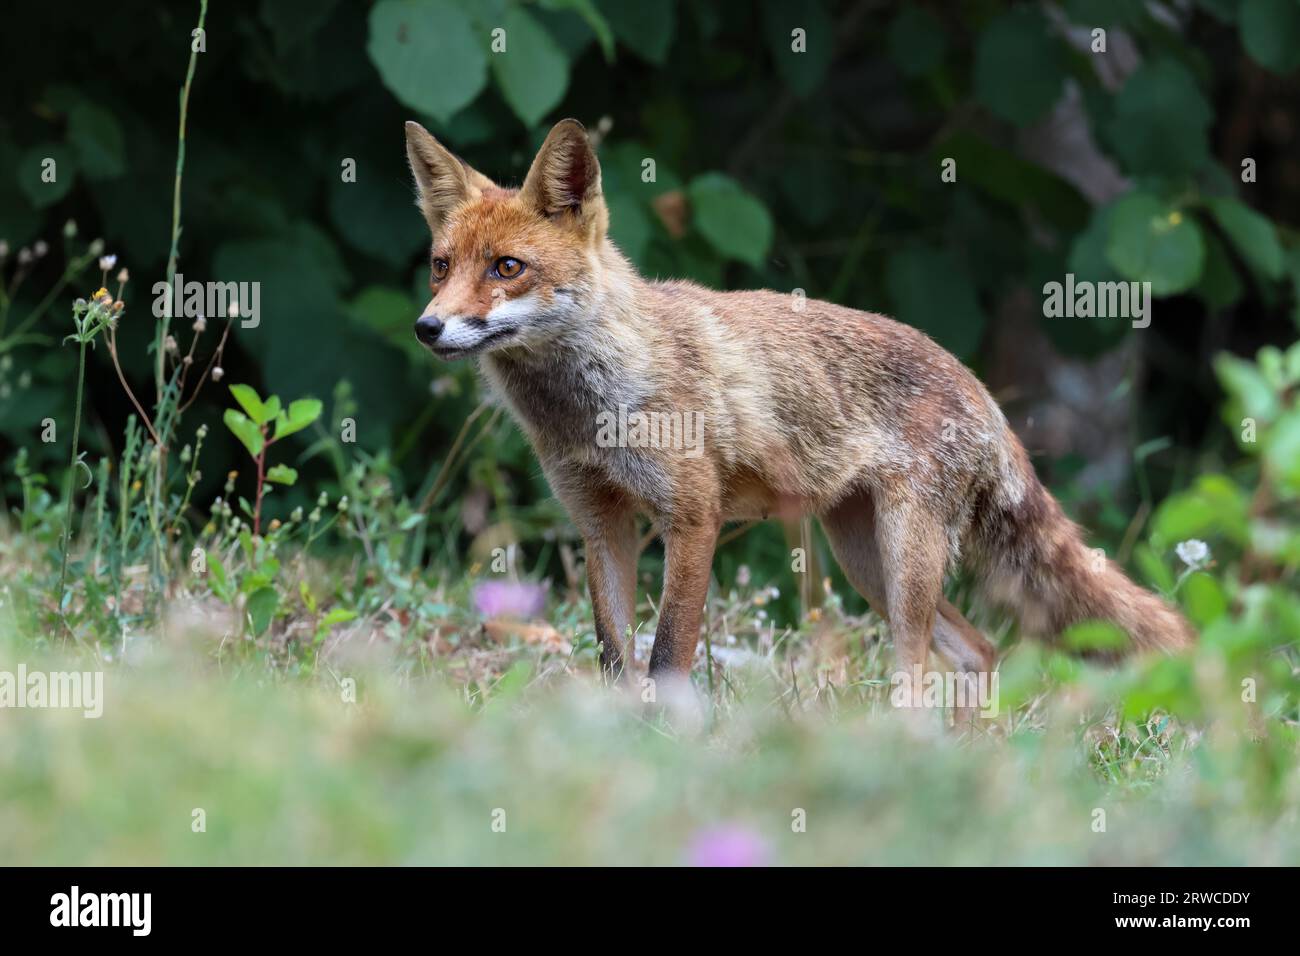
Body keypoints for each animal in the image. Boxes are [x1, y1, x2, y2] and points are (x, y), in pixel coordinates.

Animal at [403, 117, 1195, 711]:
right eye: (441, 266)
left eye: (507, 268)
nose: (427, 327)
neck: (594, 404)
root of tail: (979, 387)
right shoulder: (602, 525)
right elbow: (613, 661)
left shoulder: (693, 518)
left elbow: (667, 659)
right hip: (863, 561)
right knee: (980, 650)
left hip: (903, 561)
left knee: (923, 676)